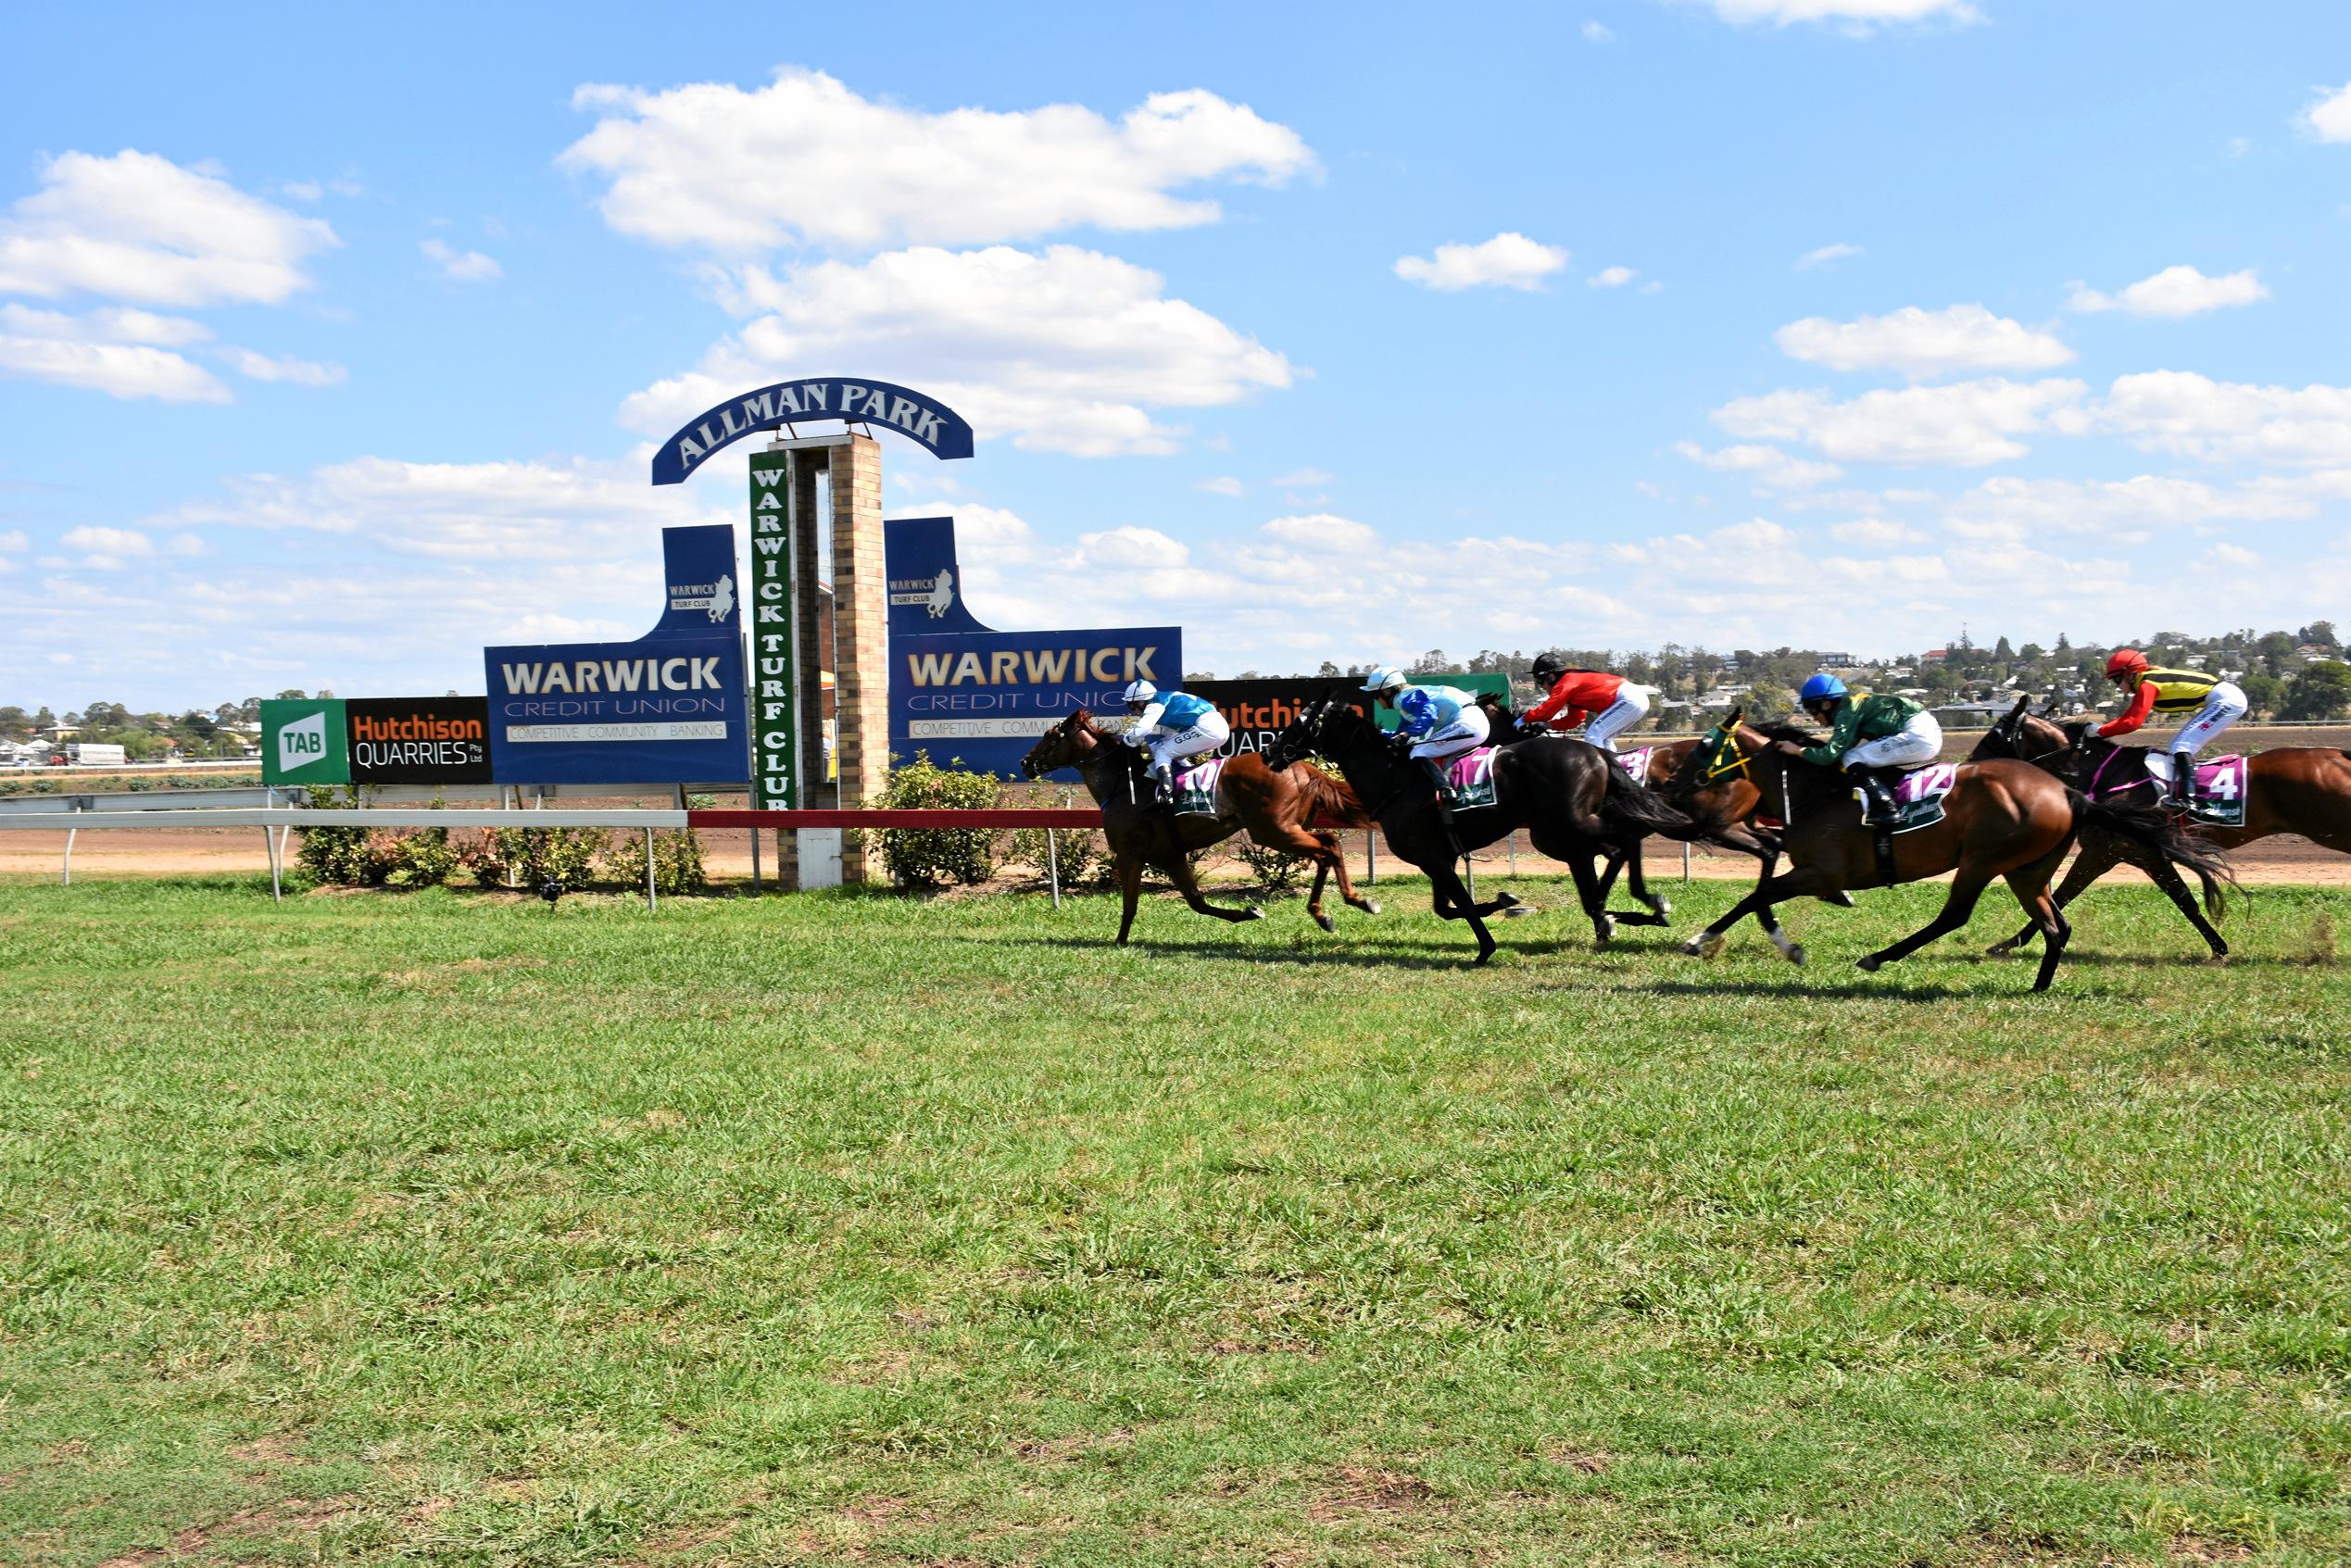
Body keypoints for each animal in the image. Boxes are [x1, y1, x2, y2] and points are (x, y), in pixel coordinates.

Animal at [1025, 709, 1382, 945]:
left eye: (1048, 737)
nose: (1025, 763)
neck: (1121, 785)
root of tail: (1304, 768)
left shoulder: (1129, 853)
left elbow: (1130, 903)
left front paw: (1120, 940)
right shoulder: (1171, 855)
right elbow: (1197, 902)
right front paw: (1249, 913)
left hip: (1273, 830)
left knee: (1328, 846)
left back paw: (1351, 903)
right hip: (1288, 828)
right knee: (1326, 847)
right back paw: (1332, 910)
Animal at [1269, 700, 1729, 968]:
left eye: (1305, 721)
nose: (1272, 750)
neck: (1392, 780)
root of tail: (1595, 752)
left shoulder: (1433, 858)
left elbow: (1461, 906)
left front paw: (1485, 948)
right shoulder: (1437, 858)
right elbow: (1448, 908)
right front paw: (1505, 901)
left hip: (1562, 828)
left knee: (1626, 839)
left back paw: (1638, 907)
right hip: (1562, 829)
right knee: (1622, 844)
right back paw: (1638, 909)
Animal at [1664, 714, 2229, 987]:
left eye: (1703, 748)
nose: (1672, 784)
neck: (1810, 789)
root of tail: (2069, 793)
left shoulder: (1819, 871)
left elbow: (1754, 899)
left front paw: (1701, 940)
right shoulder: (1811, 873)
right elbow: (1760, 899)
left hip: (1982, 860)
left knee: (1955, 915)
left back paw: (1878, 957)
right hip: (2027, 870)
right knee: (2055, 925)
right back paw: (2038, 986)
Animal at [1965, 705, 2351, 963]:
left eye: (1994, 736)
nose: (1969, 766)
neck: (2102, 775)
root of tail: (2339, 755)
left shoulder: (2110, 851)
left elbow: (2060, 895)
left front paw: (2008, 944)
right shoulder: (2130, 854)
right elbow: (2182, 898)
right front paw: (2218, 947)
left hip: (2333, 828)